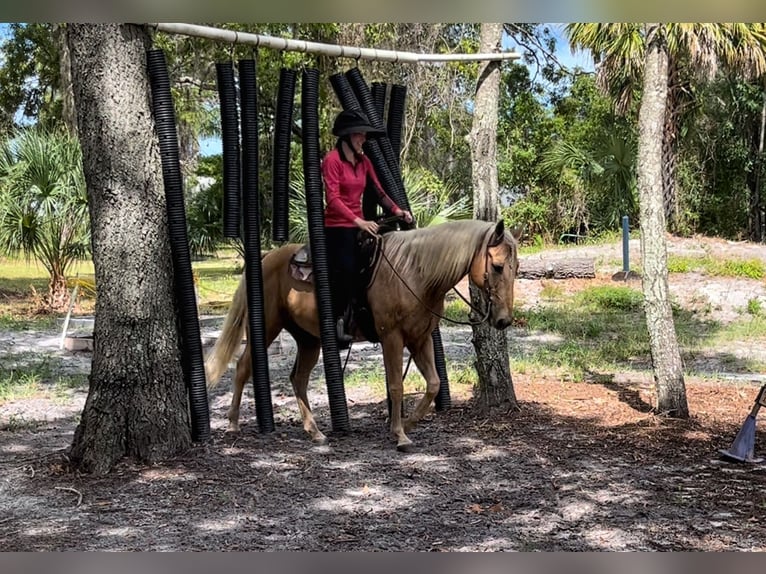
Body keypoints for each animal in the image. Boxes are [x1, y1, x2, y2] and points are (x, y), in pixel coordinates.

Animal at [206, 218, 520, 452]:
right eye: (497, 266)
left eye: (515, 268)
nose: (504, 320)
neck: (414, 273)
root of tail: (266, 258)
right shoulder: (392, 338)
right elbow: (396, 385)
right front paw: (400, 435)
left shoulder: (420, 339)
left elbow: (433, 384)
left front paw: (407, 425)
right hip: (267, 327)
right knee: (243, 366)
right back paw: (232, 423)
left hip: (309, 339)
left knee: (298, 379)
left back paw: (315, 432)